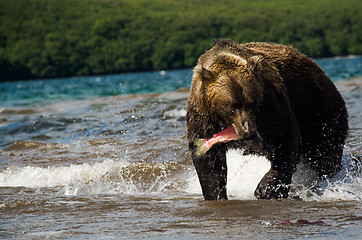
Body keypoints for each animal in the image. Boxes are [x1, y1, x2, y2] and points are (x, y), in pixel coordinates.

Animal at [187, 39, 348, 201]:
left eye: (252, 103)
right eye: (232, 106)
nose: (249, 132)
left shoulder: (269, 104)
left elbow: (284, 138)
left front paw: (266, 189)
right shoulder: (203, 116)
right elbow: (209, 159)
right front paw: (216, 195)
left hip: (319, 110)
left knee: (325, 154)